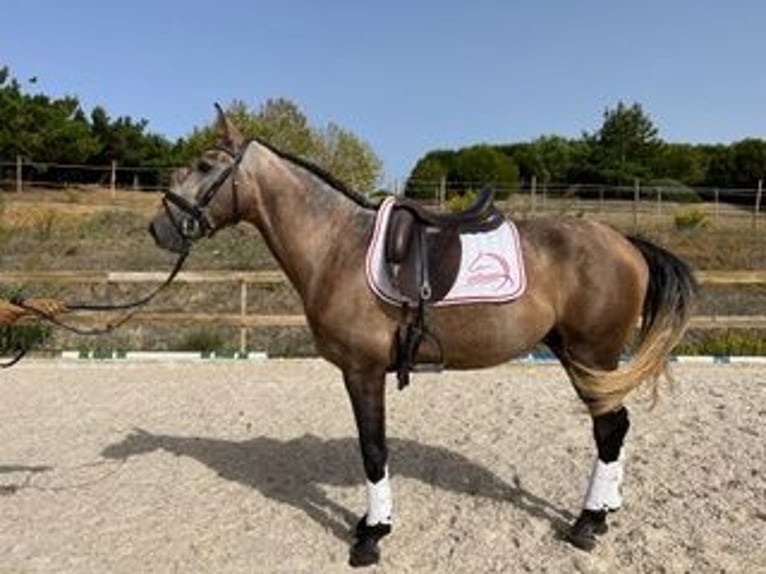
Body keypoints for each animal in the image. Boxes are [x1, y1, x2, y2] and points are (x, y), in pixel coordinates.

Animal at [147, 107, 700, 568]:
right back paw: (606, 510)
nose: (159, 228)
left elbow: (373, 450)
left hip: (591, 354)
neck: (336, 246)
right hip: (578, 353)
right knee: (615, 427)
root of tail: (627, 243)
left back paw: (586, 523)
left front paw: (372, 534)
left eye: (203, 164)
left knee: (609, 430)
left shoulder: (363, 371)